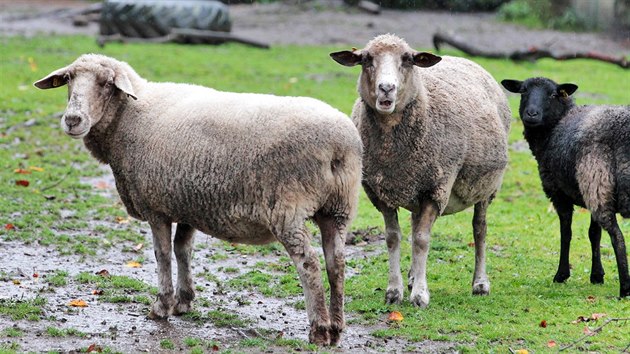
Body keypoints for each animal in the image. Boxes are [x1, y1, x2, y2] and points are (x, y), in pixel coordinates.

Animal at [33, 53, 366, 346]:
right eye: (69, 80)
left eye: (105, 83)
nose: (73, 119)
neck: (129, 117)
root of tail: (339, 146)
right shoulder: (188, 201)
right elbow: (184, 250)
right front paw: (185, 300)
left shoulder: (156, 207)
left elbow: (163, 254)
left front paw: (162, 306)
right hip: (339, 209)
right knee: (336, 263)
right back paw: (337, 328)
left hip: (287, 209)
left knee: (309, 264)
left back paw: (319, 330)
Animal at [334, 34, 512, 308]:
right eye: (366, 59)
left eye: (408, 60)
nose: (387, 88)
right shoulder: (381, 193)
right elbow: (393, 237)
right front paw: (394, 291)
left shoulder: (436, 188)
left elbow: (421, 240)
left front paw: (419, 295)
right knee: (416, 223)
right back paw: (411, 277)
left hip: (487, 187)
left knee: (479, 228)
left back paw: (480, 283)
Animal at [504, 77, 630, 298]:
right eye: (523, 91)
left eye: (553, 94)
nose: (531, 114)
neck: (555, 126)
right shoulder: (589, 192)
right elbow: (594, 234)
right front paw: (597, 276)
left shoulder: (560, 193)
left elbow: (566, 233)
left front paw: (561, 274)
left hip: (597, 181)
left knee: (618, 238)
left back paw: (625, 289)